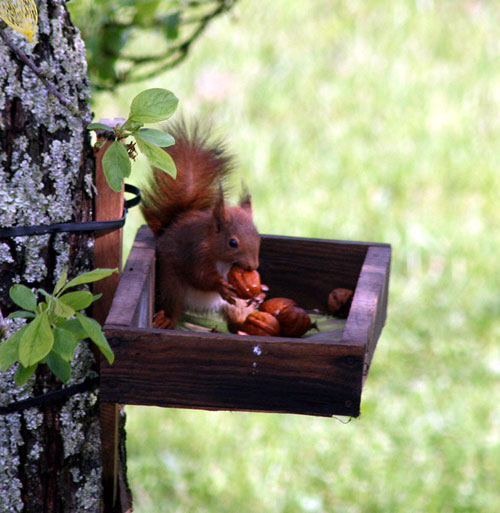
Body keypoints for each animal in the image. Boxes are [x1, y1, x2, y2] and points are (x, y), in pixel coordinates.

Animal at [140, 122, 260, 326]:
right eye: (233, 243)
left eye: (259, 239)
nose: (252, 266)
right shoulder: (195, 252)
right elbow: (199, 277)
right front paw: (219, 284)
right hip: (170, 285)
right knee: (172, 305)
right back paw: (166, 320)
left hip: (234, 304)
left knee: (237, 313)